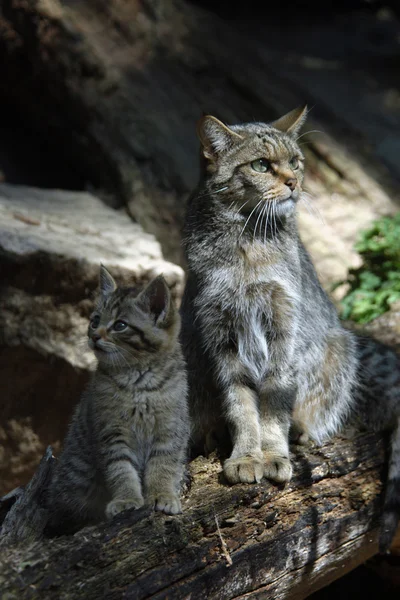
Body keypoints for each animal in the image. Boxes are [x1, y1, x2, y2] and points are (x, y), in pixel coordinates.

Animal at [48, 268, 189, 536]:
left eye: (120, 325)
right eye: (94, 320)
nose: (93, 335)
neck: (138, 382)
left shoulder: (170, 429)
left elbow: (163, 465)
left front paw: (162, 494)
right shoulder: (111, 433)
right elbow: (120, 470)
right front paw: (126, 499)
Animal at [181, 105, 400, 552]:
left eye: (296, 162)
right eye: (262, 165)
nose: (294, 182)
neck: (246, 240)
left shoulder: (284, 330)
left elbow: (275, 405)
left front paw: (274, 455)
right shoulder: (220, 334)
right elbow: (241, 406)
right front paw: (247, 456)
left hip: (338, 348)